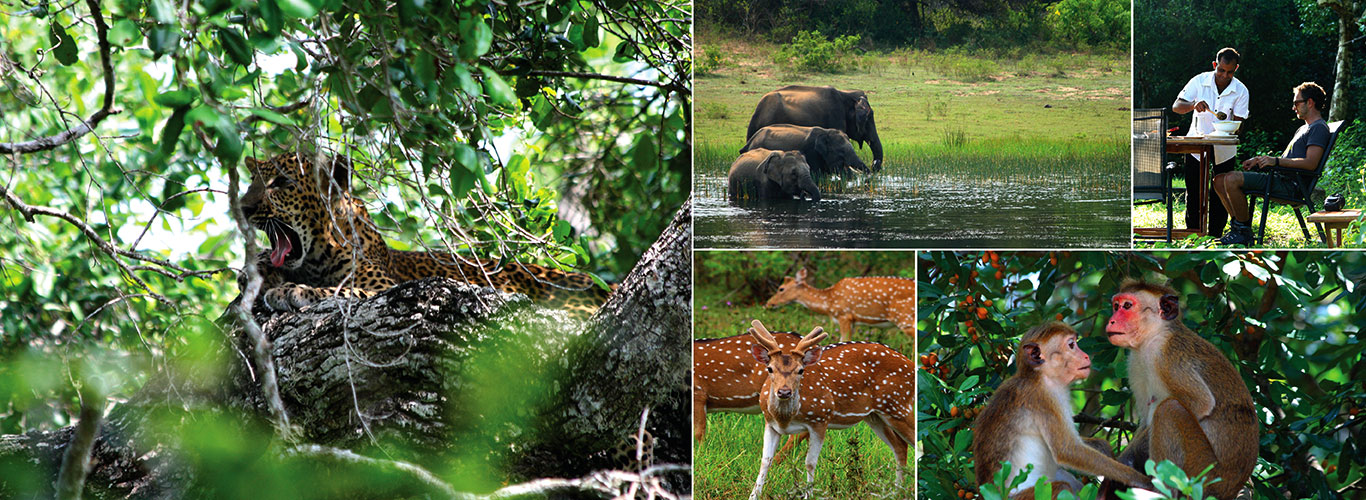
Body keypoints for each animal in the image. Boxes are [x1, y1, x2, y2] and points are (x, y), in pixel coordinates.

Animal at [237, 152, 611, 315]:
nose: (244, 207)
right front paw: (256, 272)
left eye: (282, 183)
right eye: (253, 181)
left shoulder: (383, 287)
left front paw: (293, 291)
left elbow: (344, 291)